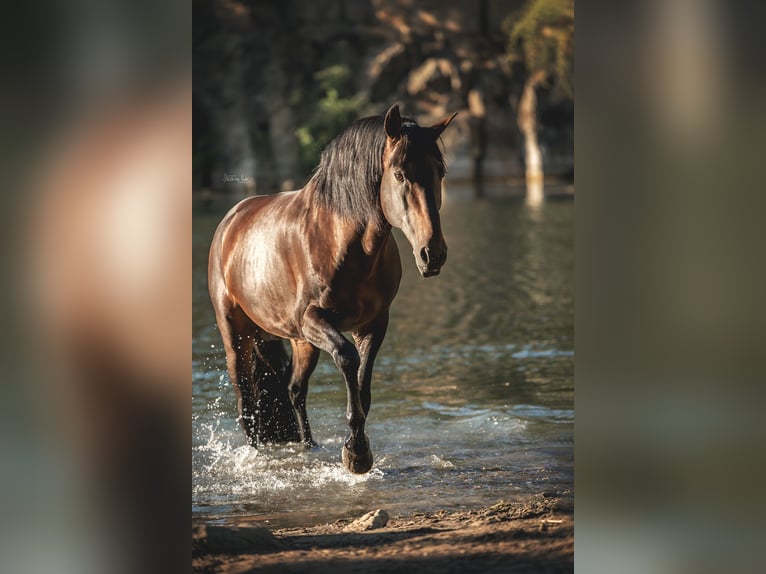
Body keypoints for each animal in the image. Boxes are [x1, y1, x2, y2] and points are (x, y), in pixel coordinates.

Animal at [208, 106, 456, 474]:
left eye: (440, 172)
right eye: (399, 174)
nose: (433, 254)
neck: (343, 243)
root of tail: (231, 220)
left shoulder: (373, 325)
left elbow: (363, 385)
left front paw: (359, 450)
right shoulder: (314, 319)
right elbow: (347, 358)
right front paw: (356, 452)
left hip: (299, 341)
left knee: (294, 389)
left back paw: (308, 446)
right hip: (238, 335)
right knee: (247, 400)